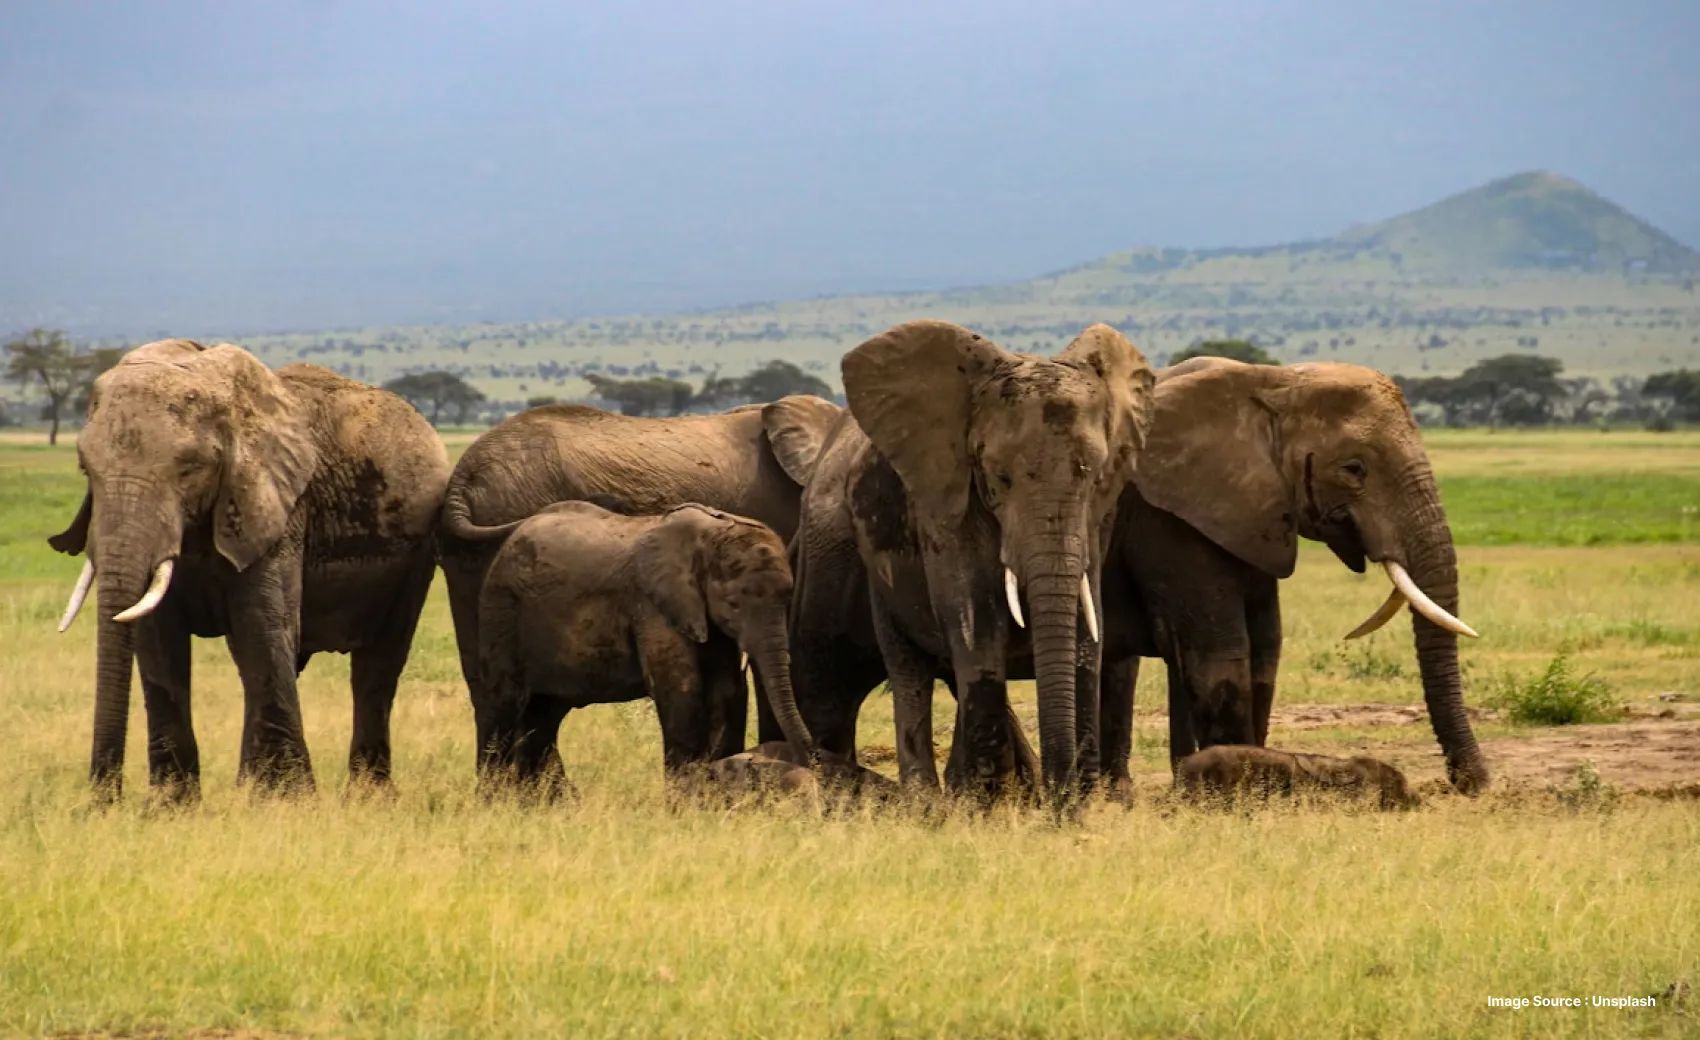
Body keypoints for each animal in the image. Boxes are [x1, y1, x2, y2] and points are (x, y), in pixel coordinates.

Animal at [50, 340, 449, 798]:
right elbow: (158, 639)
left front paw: (286, 800)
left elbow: (259, 624)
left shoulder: (281, 507)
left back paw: (369, 797)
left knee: (377, 664)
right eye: (85, 468)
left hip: (416, 556)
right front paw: (170, 804)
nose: (104, 800)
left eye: (189, 469)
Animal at [473, 500, 814, 790]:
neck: (708, 534)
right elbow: (681, 690)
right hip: (501, 610)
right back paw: (494, 800)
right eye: (733, 605)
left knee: (543, 717)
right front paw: (684, 806)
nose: (809, 758)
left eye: (788, 598)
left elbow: (725, 690)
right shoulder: (653, 606)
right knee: (500, 707)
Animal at [786, 320, 1155, 799]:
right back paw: (926, 801)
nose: (1064, 797)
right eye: (1000, 477)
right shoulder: (945, 500)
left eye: (1093, 475)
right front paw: (987, 804)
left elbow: (1086, 623)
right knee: (885, 676)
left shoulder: (1098, 517)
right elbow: (975, 623)